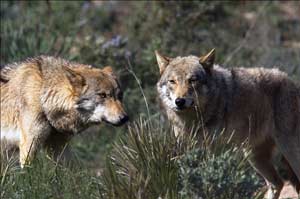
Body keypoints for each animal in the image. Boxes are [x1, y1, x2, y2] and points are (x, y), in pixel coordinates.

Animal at [0, 55, 128, 167]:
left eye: (120, 96)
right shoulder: (29, 144)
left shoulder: (59, 146)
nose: (125, 118)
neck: (42, 94)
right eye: (103, 95)